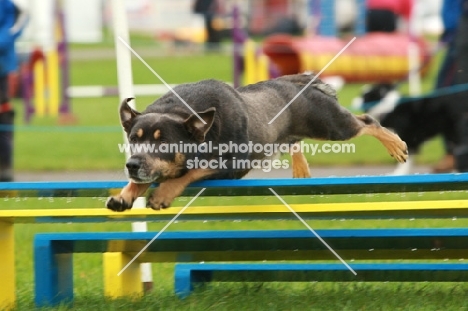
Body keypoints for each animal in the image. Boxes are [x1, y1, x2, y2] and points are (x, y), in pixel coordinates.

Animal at [105, 74, 406, 213]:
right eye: (133, 139)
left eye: (164, 142)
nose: (131, 164)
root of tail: (299, 82)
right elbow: (144, 179)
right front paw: (124, 195)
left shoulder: (232, 165)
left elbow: (190, 172)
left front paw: (162, 195)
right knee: (294, 141)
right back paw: (300, 170)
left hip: (329, 125)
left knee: (366, 121)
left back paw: (396, 146)